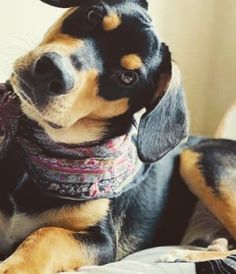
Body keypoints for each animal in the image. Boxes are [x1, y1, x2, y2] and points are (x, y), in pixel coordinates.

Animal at [0, 0, 236, 274]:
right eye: (92, 15)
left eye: (127, 77)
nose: (51, 70)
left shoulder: (102, 240)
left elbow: (48, 235)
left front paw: (13, 267)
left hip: (200, 157)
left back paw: (181, 255)